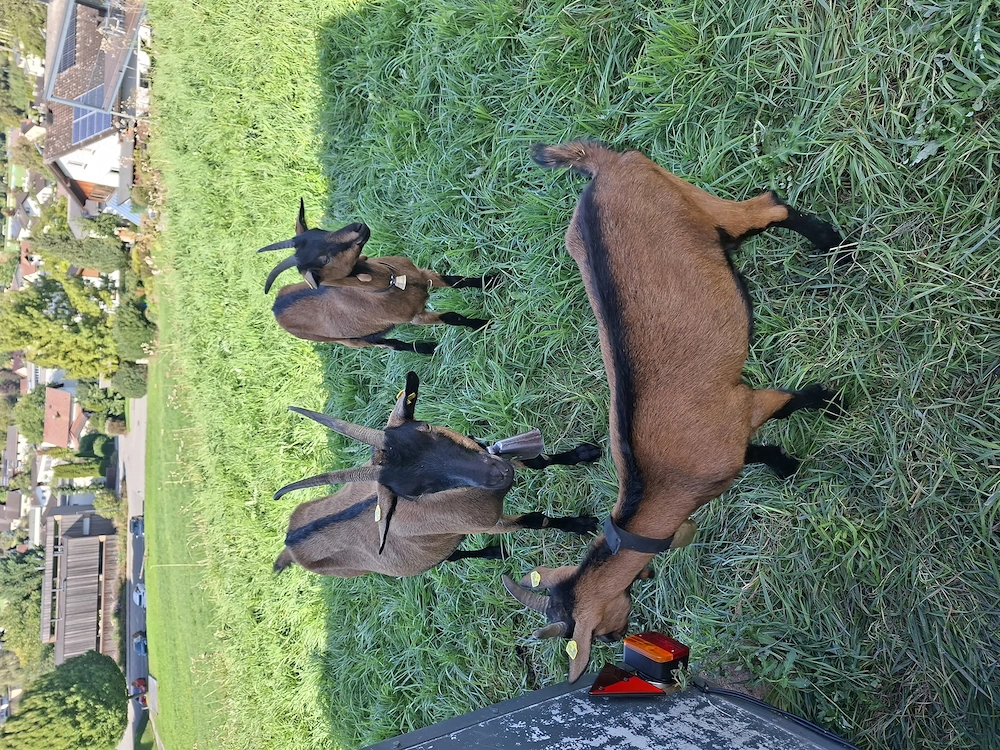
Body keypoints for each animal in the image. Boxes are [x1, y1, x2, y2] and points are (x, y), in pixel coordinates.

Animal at [260, 200, 492, 354]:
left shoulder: (423, 274)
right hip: (350, 340)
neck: (393, 282)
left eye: (317, 230)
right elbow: (453, 317)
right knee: (392, 345)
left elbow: (458, 281)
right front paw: (484, 325)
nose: (358, 227)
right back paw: (427, 350)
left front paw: (491, 281)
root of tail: (275, 307)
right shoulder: (415, 317)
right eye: (323, 259)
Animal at [273, 372, 602, 578]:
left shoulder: (484, 451)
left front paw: (585, 454)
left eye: (426, 428)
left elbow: (538, 462)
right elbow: (535, 520)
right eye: (415, 492)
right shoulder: (489, 522)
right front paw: (582, 525)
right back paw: (494, 553)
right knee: (451, 556)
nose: (498, 474)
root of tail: (289, 542)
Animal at [503, 141, 845, 682]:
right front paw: (785, 465)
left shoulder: (745, 404)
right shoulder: (733, 441)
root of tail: (604, 166)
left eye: (600, 635)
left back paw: (834, 244)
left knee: (766, 207)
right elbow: (755, 454)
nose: (621, 637)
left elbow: (792, 403)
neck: (664, 483)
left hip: (696, 204)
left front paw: (833, 403)